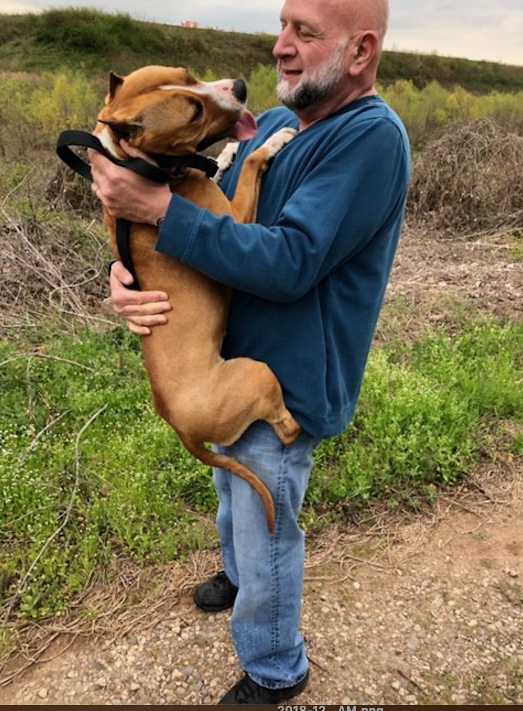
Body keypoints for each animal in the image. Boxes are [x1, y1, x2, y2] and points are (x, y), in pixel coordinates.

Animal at [92, 67, 300, 532]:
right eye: (194, 113)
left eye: (185, 75)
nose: (240, 87)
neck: (143, 165)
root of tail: (182, 431)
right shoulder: (237, 220)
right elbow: (254, 165)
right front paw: (272, 141)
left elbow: (224, 164)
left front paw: (231, 151)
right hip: (257, 374)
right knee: (288, 429)